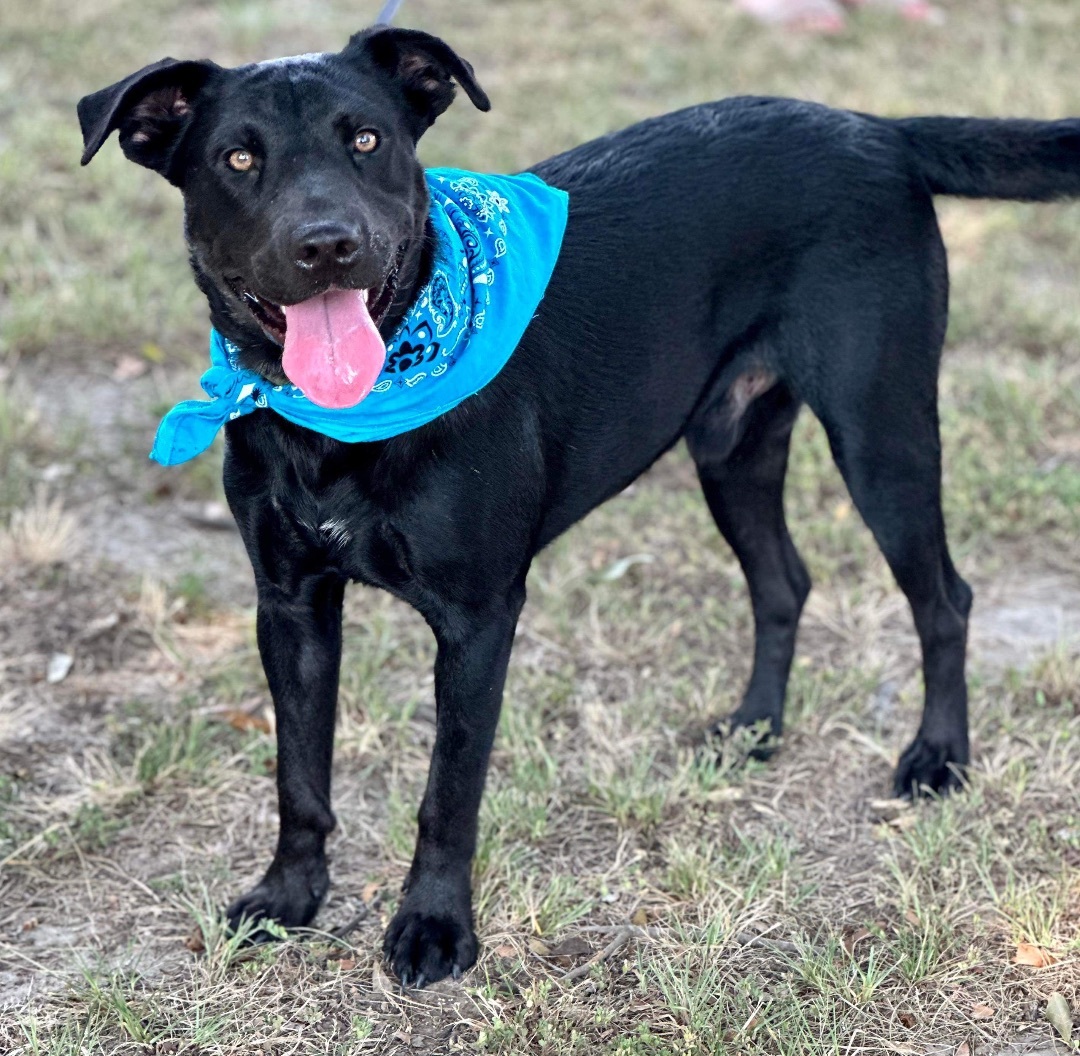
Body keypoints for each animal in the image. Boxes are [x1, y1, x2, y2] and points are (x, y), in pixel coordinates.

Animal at [79, 22, 1080, 980]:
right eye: (237, 159)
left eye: (366, 139)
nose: (327, 244)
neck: (342, 423)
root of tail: (878, 127)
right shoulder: (289, 604)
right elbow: (298, 772)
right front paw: (291, 897)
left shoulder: (479, 617)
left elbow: (449, 789)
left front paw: (434, 928)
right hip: (733, 447)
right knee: (784, 582)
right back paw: (753, 730)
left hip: (881, 431)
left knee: (944, 598)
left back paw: (938, 759)